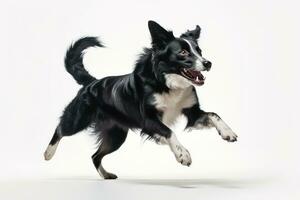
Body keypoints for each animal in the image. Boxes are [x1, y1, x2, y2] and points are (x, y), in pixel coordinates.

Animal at [44, 20, 237, 180]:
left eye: (200, 51)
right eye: (183, 52)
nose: (208, 63)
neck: (167, 82)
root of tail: (92, 82)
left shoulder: (192, 113)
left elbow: (213, 114)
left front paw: (228, 132)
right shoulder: (148, 119)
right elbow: (169, 131)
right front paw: (182, 154)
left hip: (116, 135)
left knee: (95, 156)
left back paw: (106, 174)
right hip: (78, 119)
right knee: (60, 129)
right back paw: (48, 153)